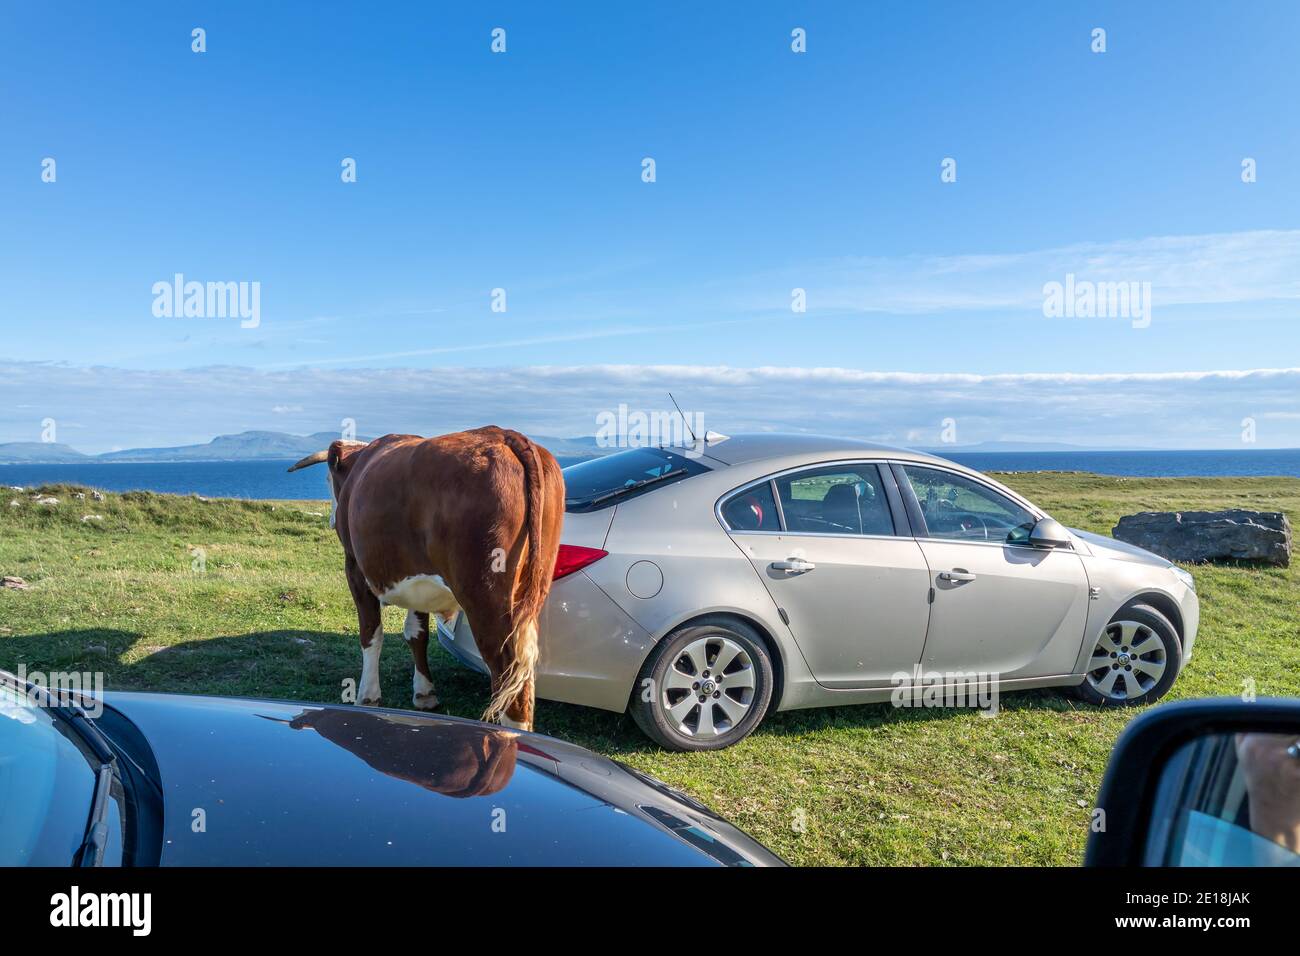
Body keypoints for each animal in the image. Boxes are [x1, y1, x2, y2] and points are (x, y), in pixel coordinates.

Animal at [289, 429, 564, 733]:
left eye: (329, 482)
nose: (330, 519)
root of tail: (505, 435)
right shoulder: (417, 580)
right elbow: (416, 633)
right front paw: (424, 693)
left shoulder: (355, 569)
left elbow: (370, 633)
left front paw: (368, 696)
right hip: (528, 596)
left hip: (486, 596)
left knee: (506, 672)